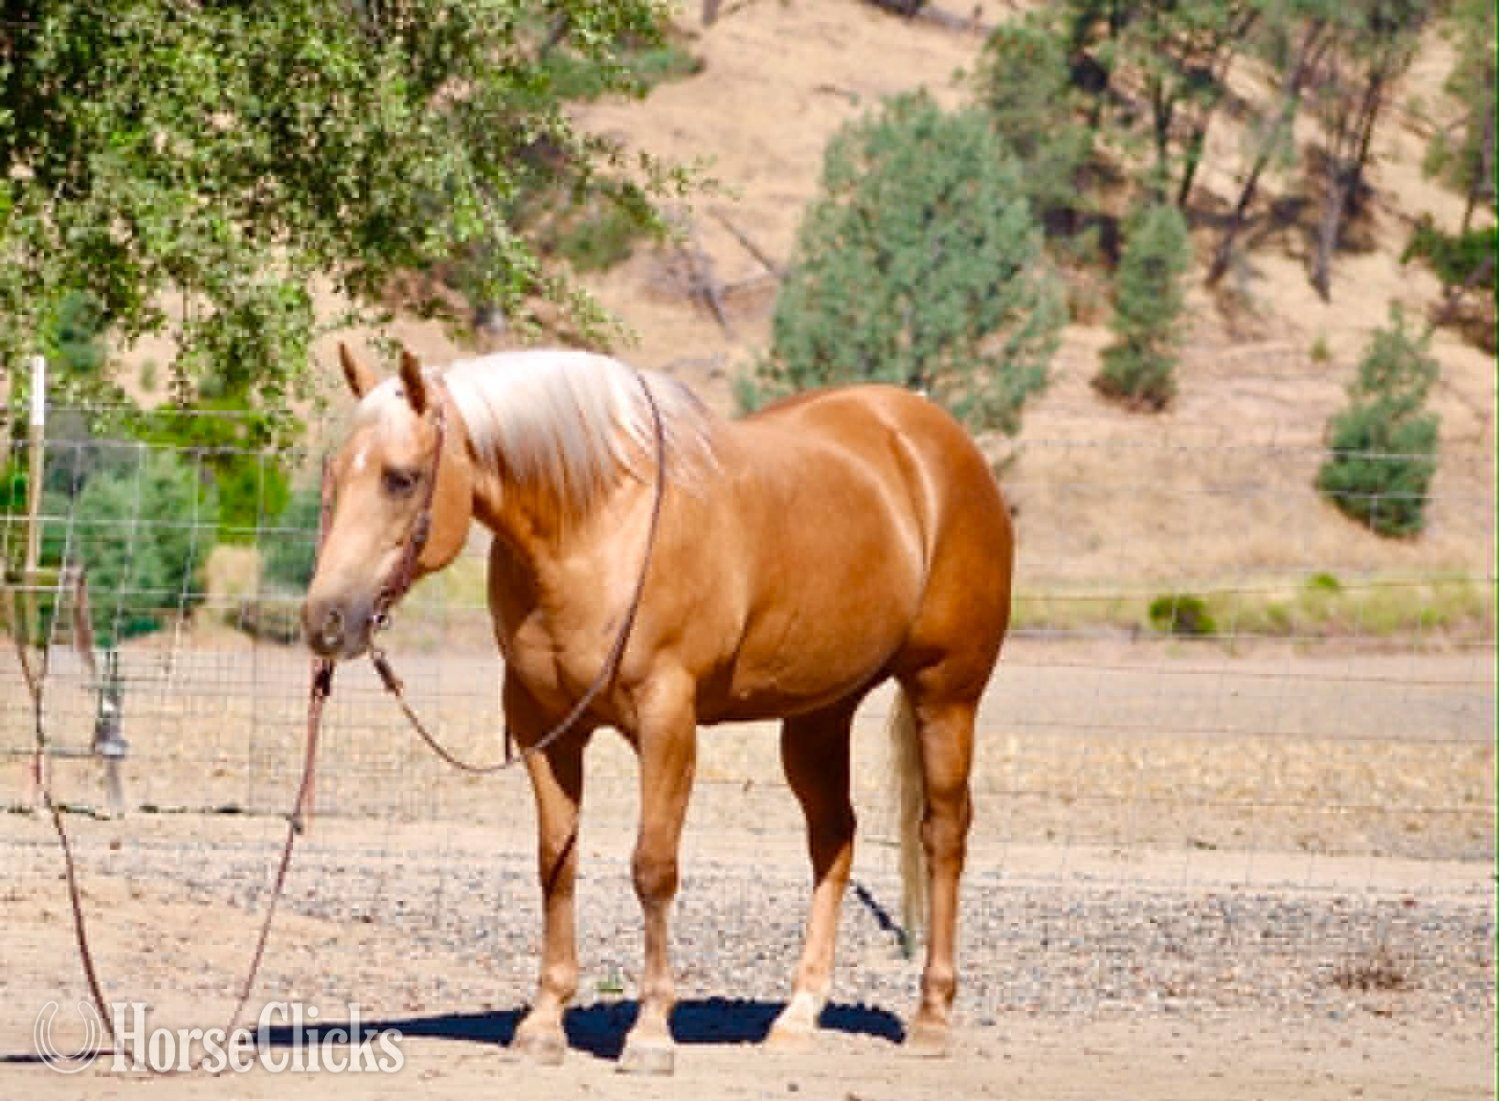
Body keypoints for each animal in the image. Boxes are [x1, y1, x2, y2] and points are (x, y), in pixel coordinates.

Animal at [303, 345, 1013, 1074]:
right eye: (334, 472)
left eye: (401, 478)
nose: (324, 620)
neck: (597, 526)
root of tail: (931, 437)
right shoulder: (543, 730)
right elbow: (556, 861)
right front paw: (544, 1021)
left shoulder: (665, 721)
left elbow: (653, 867)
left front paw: (649, 1033)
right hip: (819, 714)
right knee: (834, 838)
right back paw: (797, 1015)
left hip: (945, 694)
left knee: (942, 835)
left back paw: (931, 1015)